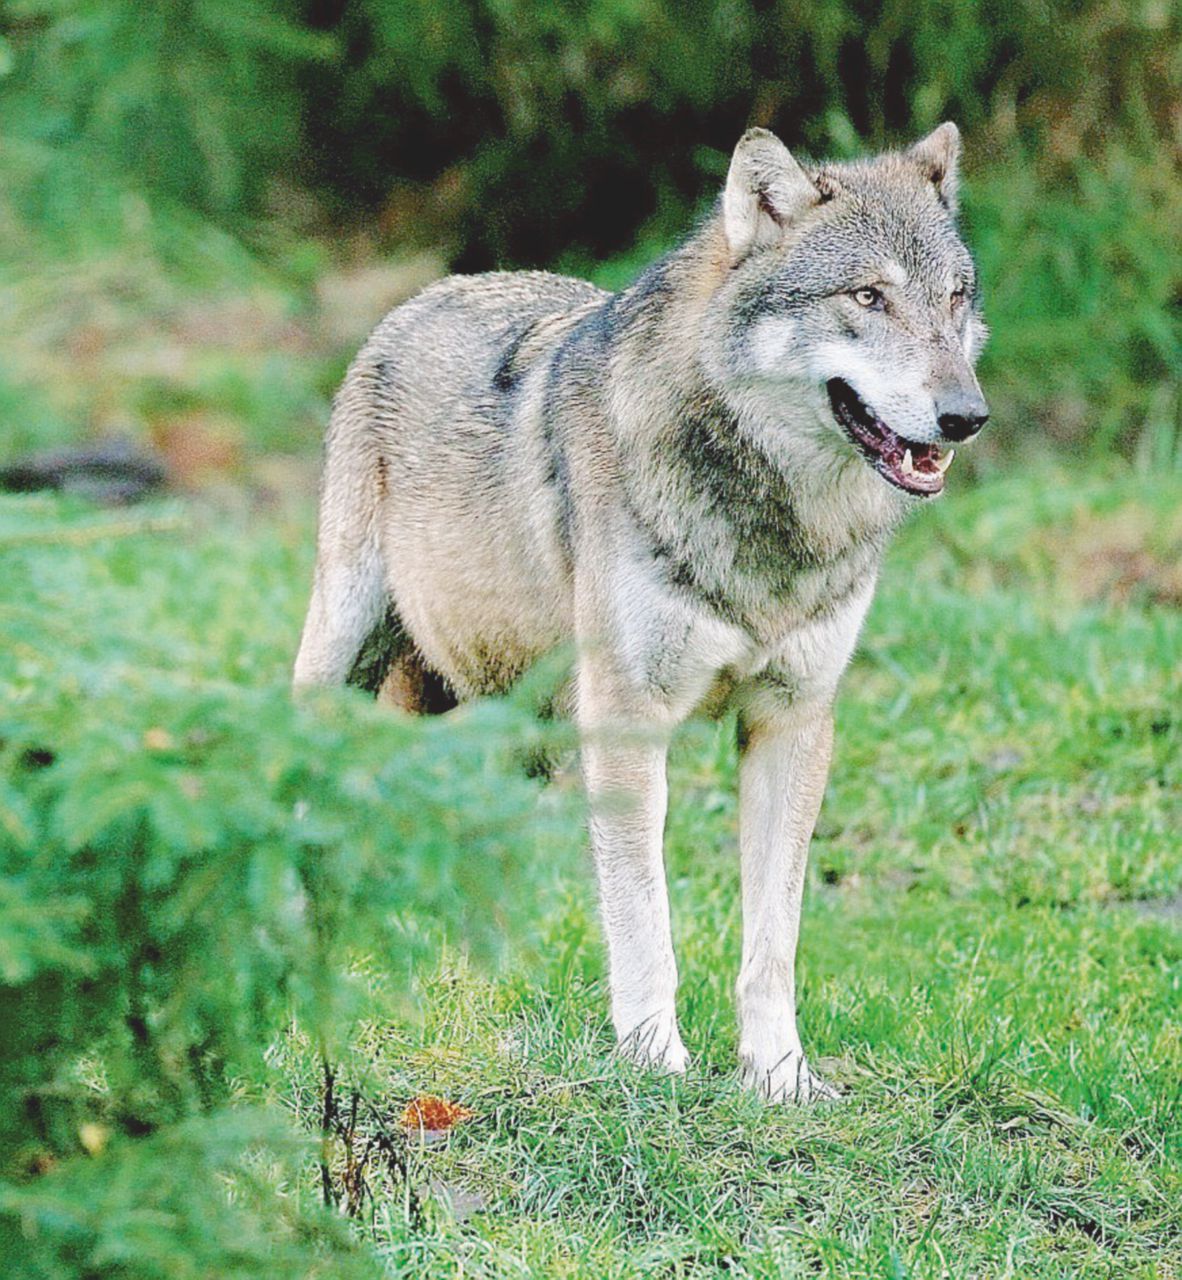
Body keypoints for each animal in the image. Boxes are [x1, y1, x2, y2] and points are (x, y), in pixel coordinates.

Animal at [293, 122, 988, 1100]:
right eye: (868, 297)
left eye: (955, 299)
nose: (967, 415)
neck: (770, 530)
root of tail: (430, 292)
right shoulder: (627, 721)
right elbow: (643, 919)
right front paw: (655, 1062)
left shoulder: (792, 722)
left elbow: (772, 942)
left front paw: (779, 1077)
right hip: (348, 661)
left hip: (515, 734)